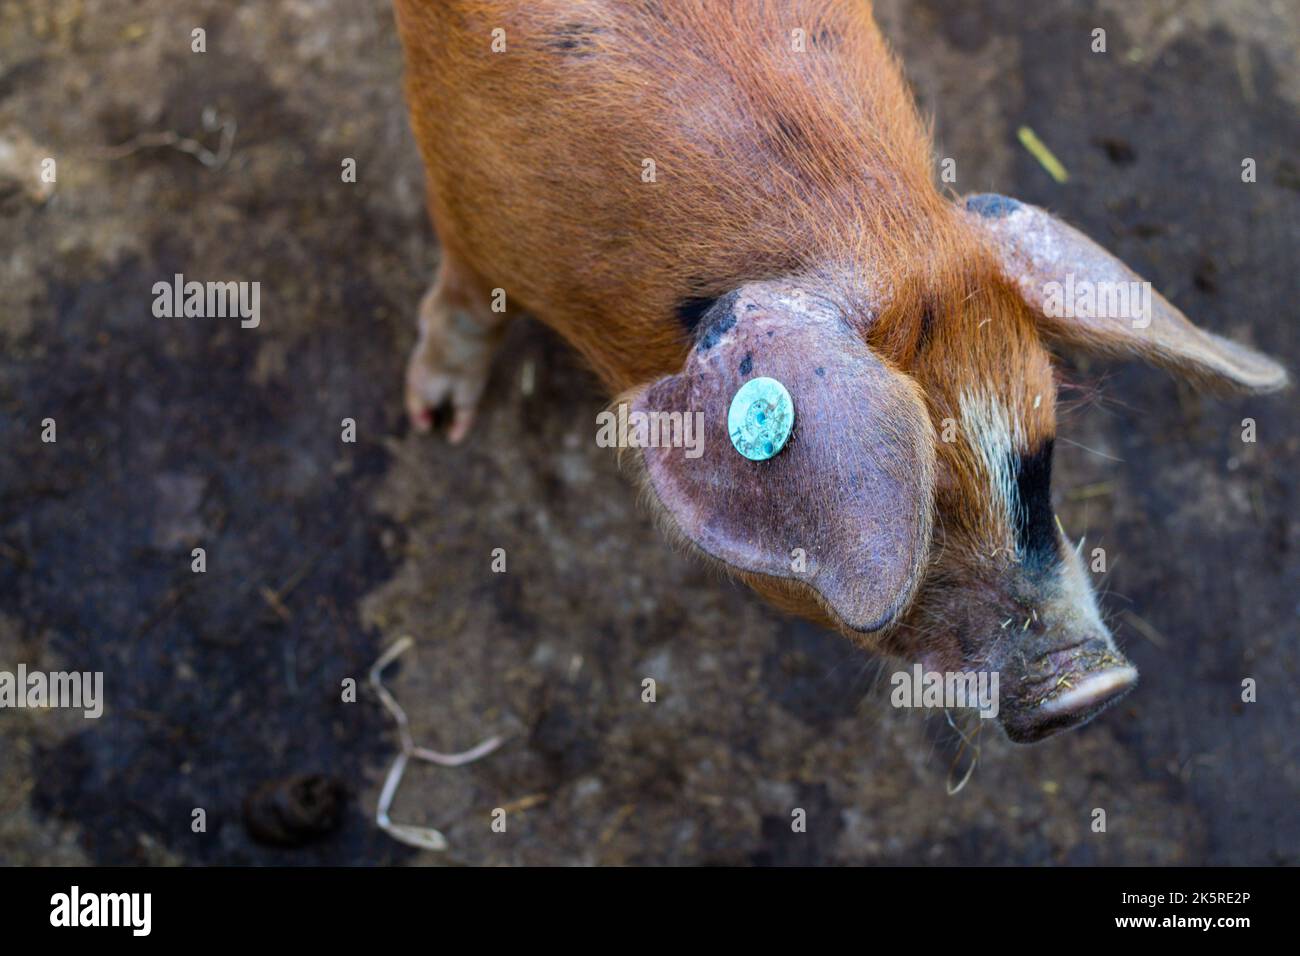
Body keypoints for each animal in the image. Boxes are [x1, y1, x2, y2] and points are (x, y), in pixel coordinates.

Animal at [390, 0, 1284, 743]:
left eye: (1043, 455)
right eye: (923, 504)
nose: (1092, 688)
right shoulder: (464, 204)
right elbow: (464, 305)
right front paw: (434, 423)